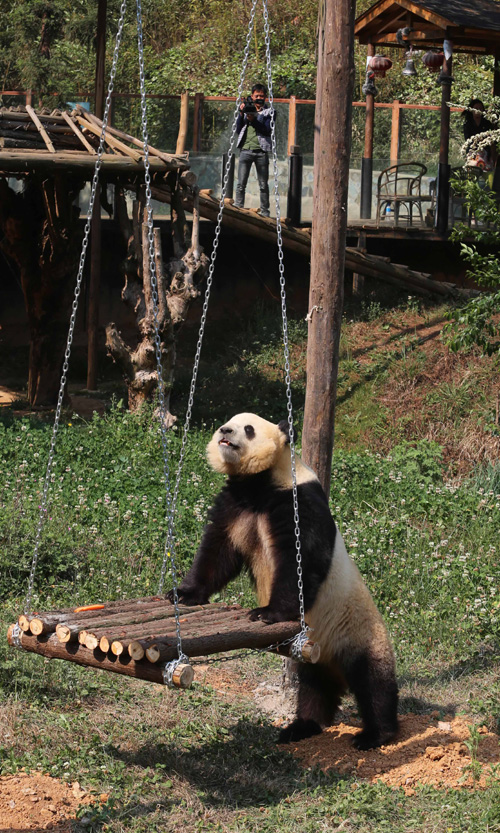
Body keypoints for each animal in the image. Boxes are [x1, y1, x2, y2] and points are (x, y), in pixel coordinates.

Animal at [172, 414, 398, 748]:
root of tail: (334, 663)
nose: (225, 431)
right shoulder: (234, 503)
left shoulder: (297, 501)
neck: (261, 482)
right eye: (229, 422)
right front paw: (185, 593)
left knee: (373, 683)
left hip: (359, 632)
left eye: (248, 429)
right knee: (314, 687)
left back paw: (374, 735)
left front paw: (267, 613)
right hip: (316, 652)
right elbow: (218, 552)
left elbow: (300, 560)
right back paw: (302, 726)